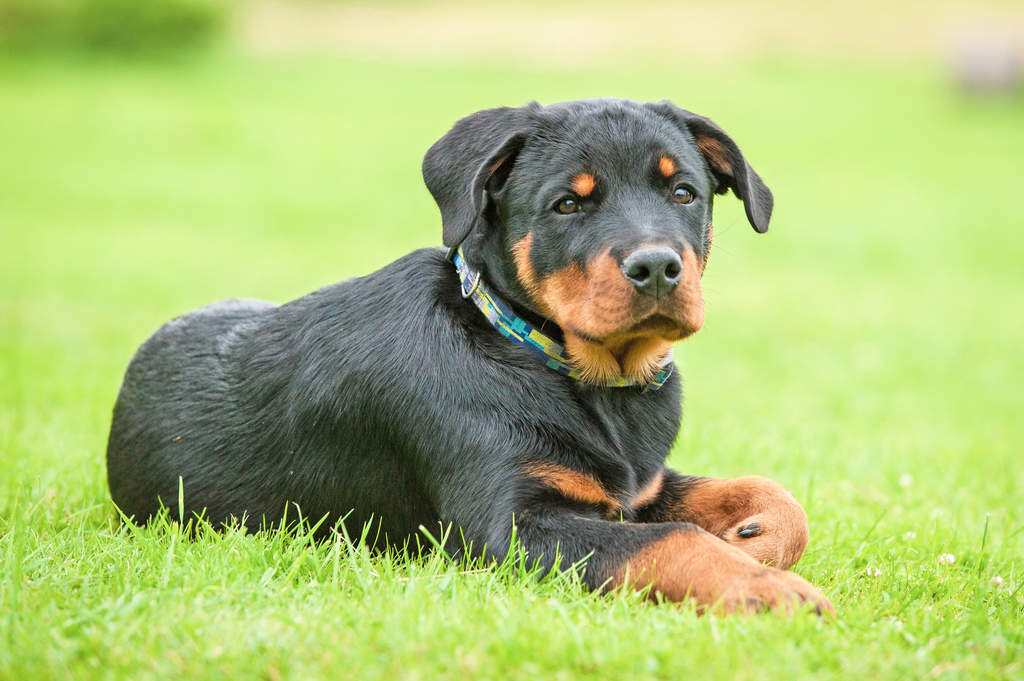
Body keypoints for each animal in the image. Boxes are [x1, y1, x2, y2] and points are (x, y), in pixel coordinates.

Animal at [108, 98, 835, 614]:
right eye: (567, 204)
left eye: (683, 193)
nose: (656, 267)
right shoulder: (511, 526)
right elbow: (674, 540)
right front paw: (770, 590)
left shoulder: (636, 486)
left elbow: (772, 493)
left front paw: (758, 543)